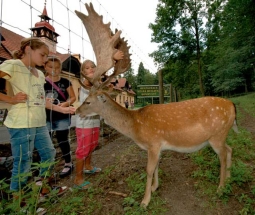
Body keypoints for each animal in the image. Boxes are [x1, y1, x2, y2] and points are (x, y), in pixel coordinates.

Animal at [74, 2, 238, 208]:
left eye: (88, 101)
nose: (76, 111)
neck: (135, 127)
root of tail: (232, 106)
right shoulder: (158, 147)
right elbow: (157, 166)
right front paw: (154, 188)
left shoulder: (153, 142)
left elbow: (149, 169)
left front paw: (144, 201)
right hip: (222, 134)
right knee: (230, 150)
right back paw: (229, 180)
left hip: (217, 134)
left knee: (223, 156)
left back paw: (221, 188)